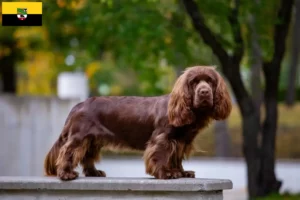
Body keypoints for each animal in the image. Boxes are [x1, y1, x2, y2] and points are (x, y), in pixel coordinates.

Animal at [44, 65, 232, 180]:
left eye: (210, 81)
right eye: (194, 82)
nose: (204, 92)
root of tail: (79, 104)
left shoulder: (180, 142)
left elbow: (176, 158)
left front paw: (181, 172)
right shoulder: (162, 139)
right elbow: (160, 156)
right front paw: (166, 173)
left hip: (92, 139)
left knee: (87, 156)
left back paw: (94, 172)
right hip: (80, 136)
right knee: (68, 152)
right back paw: (66, 174)